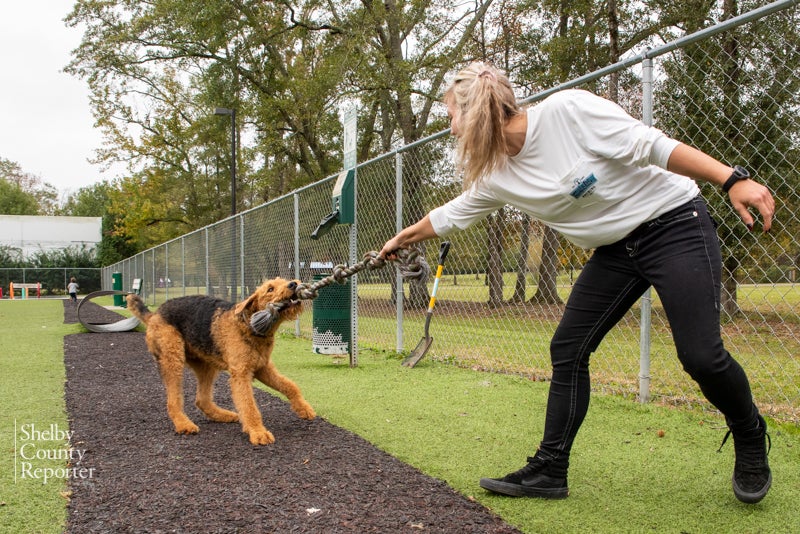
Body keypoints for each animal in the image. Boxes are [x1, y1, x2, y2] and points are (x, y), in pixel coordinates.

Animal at [126, 280, 316, 448]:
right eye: (270, 289)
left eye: (283, 281)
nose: (293, 284)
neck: (250, 324)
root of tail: (154, 314)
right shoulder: (241, 374)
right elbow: (249, 406)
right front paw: (258, 433)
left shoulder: (262, 367)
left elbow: (290, 386)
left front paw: (304, 409)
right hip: (173, 359)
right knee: (174, 401)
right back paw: (184, 424)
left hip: (206, 365)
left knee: (202, 399)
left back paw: (223, 415)